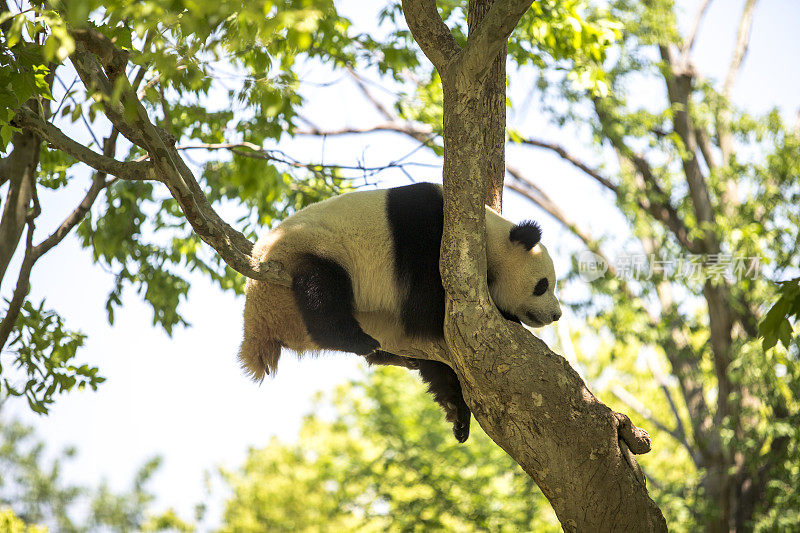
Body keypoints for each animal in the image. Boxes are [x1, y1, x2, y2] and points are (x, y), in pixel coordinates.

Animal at [241, 182, 560, 440]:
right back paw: (355, 339)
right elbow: (428, 313)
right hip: (309, 252)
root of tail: (256, 317)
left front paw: (456, 413)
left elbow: (442, 360)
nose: (556, 315)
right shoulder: (424, 237)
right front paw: (505, 316)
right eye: (542, 285)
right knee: (321, 289)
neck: (487, 237)